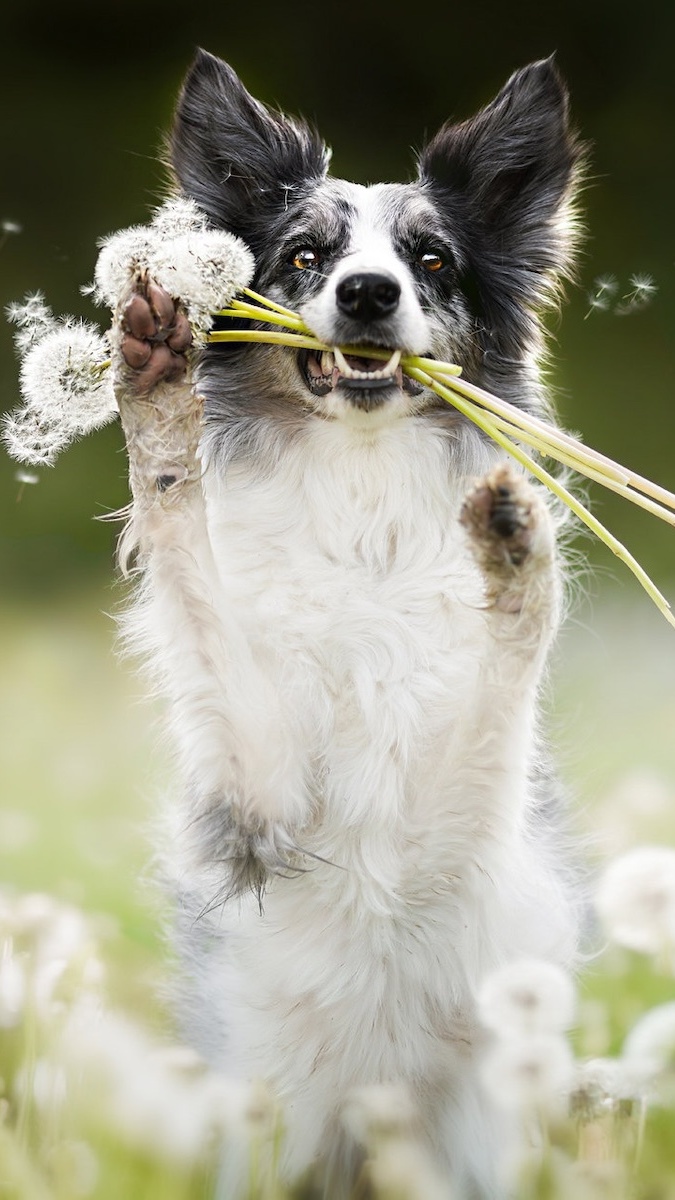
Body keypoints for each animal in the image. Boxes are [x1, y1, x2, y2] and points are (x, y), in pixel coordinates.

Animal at [111, 51, 583, 1200]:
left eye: (429, 257)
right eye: (304, 255)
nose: (368, 293)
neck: (362, 505)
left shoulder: (461, 834)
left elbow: (511, 655)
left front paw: (523, 537)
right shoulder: (260, 801)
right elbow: (182, 537)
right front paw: (154, 397)